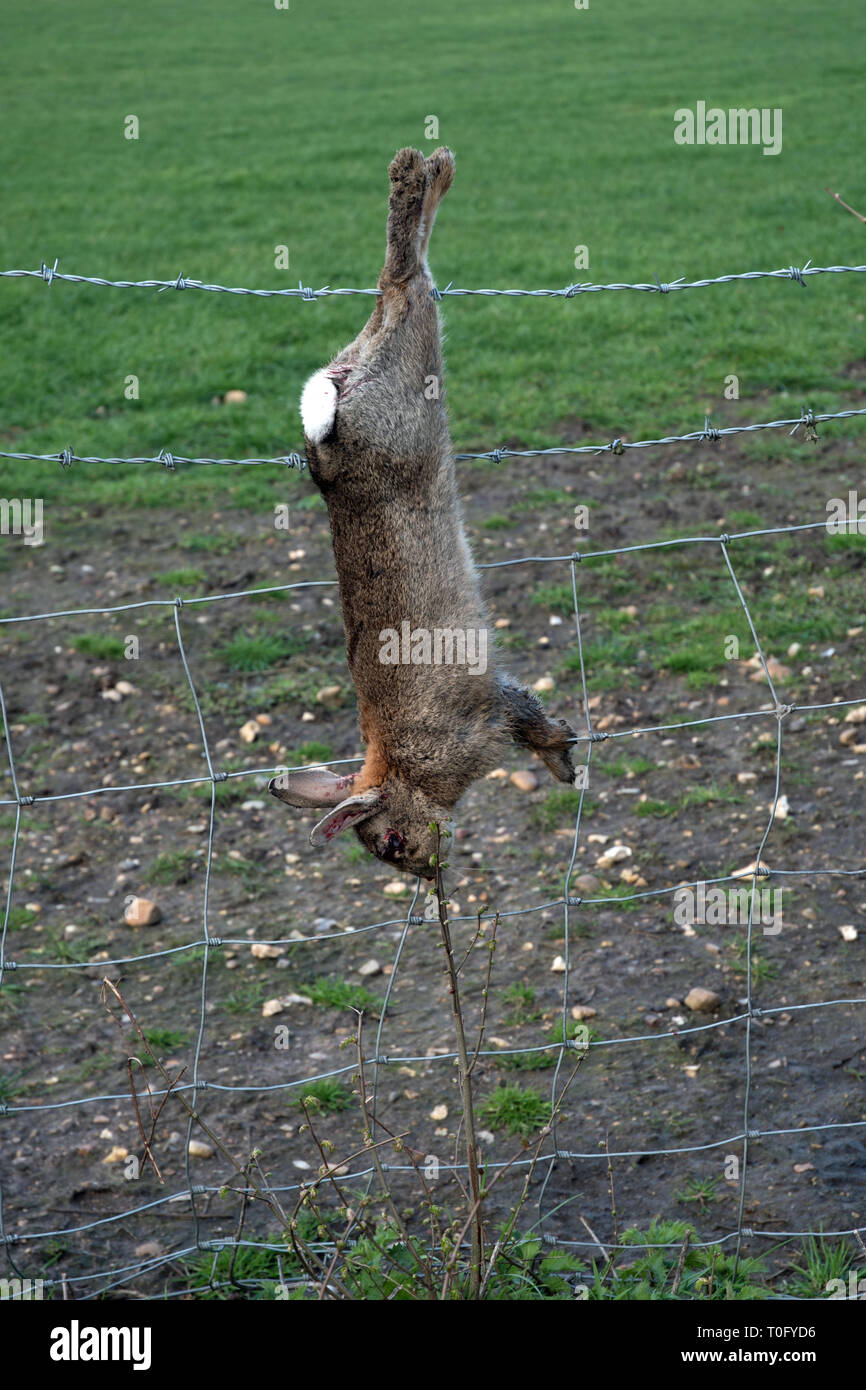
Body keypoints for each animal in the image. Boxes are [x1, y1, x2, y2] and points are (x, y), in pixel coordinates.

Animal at [269, 147, 576, 879]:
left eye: (384, 842)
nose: (429, 871)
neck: (401, 771)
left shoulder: (489, 717)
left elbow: (533, 726)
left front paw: (564, 762)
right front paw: (567, 760)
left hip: (411, 367)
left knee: (403, 281)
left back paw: (420, 173)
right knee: (403, 283)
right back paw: (431, 173)